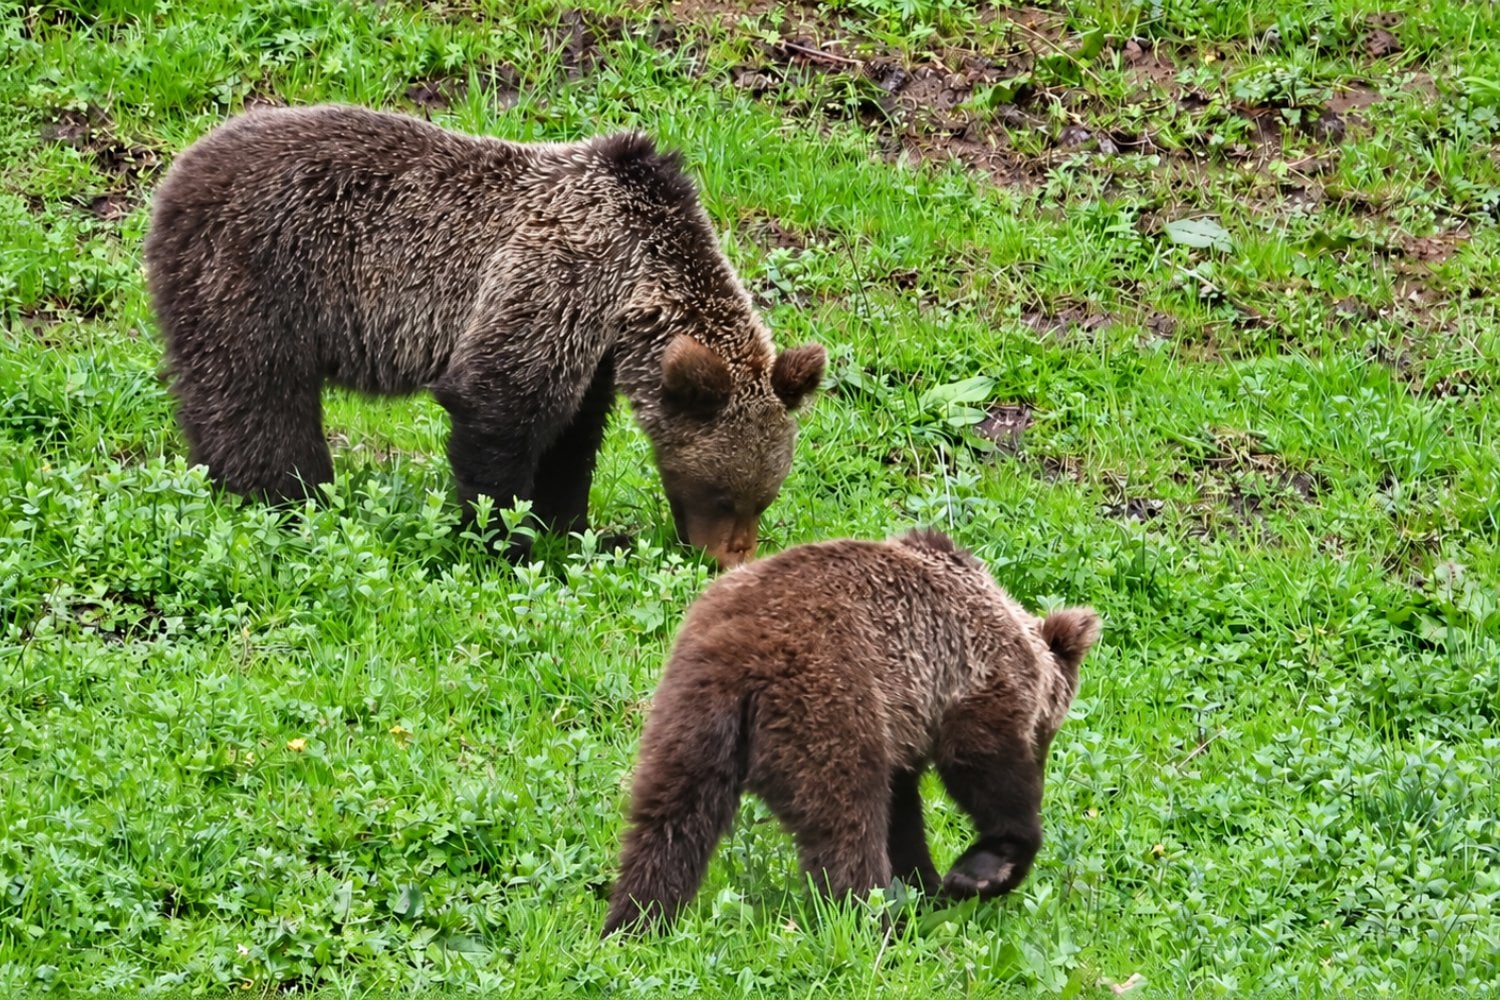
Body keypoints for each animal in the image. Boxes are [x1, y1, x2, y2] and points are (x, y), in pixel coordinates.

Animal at [143, 104, 826, 567]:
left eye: (764, 497)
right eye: (723, 494)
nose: (730, 559)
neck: (632, 278)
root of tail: (180, 168)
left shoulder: (593, 347)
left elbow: (572, 438)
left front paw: (570, 526)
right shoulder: (554, 280)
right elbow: (499, 410)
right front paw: (503, 540)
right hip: (258, 275)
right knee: (257, 397)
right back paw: (288, 496)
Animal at [602, 529, 1099, 936]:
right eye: (1048, 729)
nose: (1041, 753)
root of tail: (740, 653)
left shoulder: (901, 721)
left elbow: (903, 813)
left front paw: (926, 885)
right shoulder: (969, 681)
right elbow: (981, 766)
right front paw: (978, 873)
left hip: (687, 713)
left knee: (669, 816)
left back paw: (636, 919)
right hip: (830, 701)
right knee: (846, 821)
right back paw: (874, 923)